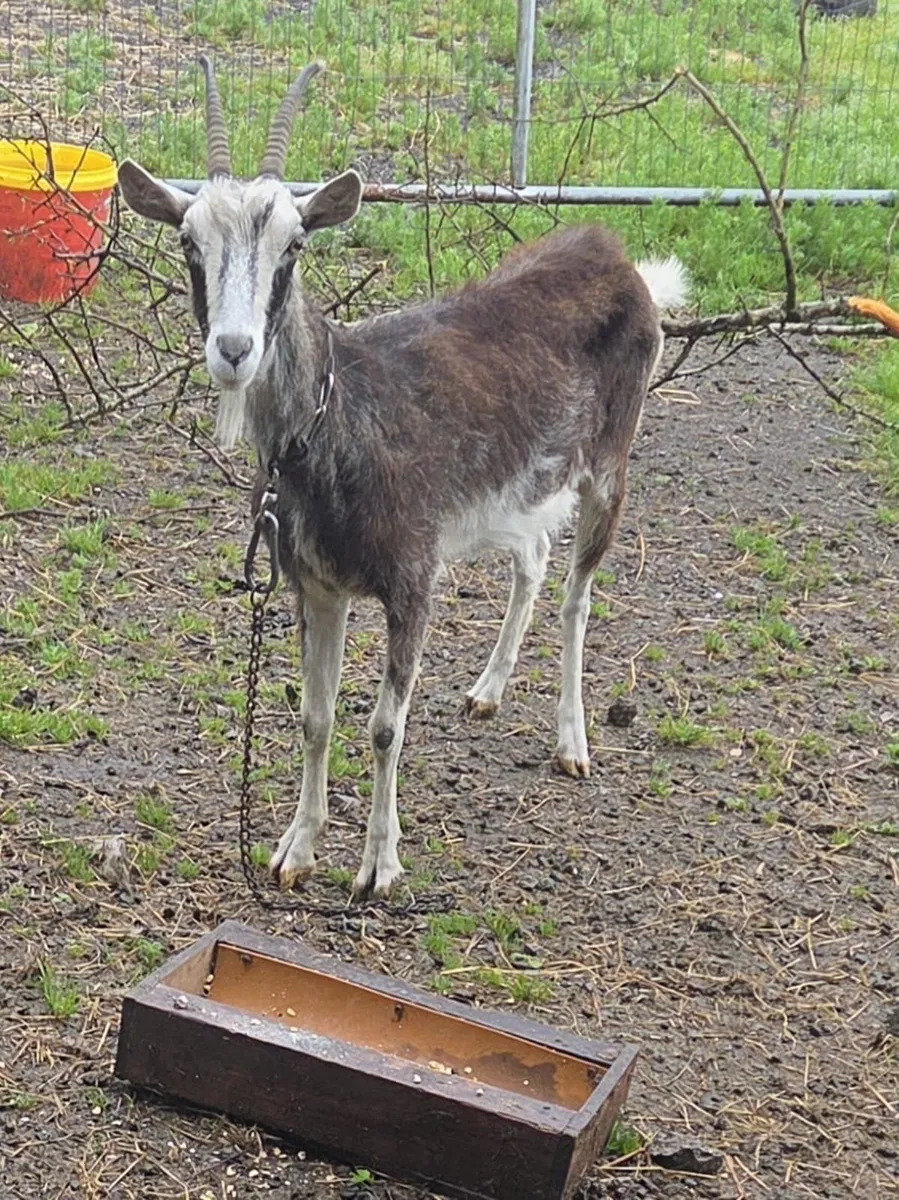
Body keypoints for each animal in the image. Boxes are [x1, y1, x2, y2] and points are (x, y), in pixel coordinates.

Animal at [117, 59, 689, 901]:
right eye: (188, 241)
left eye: (293, 245)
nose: (233, 349)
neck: (337, 417)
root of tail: (617, 259)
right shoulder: (316, 586)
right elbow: (315, 716)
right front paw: (295, 849)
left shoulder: (412, 577)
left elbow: (385, 726)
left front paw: (378, 867)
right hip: (520, 485)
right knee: (531, 558)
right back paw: (486, 691)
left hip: (608, 465)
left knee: (578, 596)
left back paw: (571, 741)